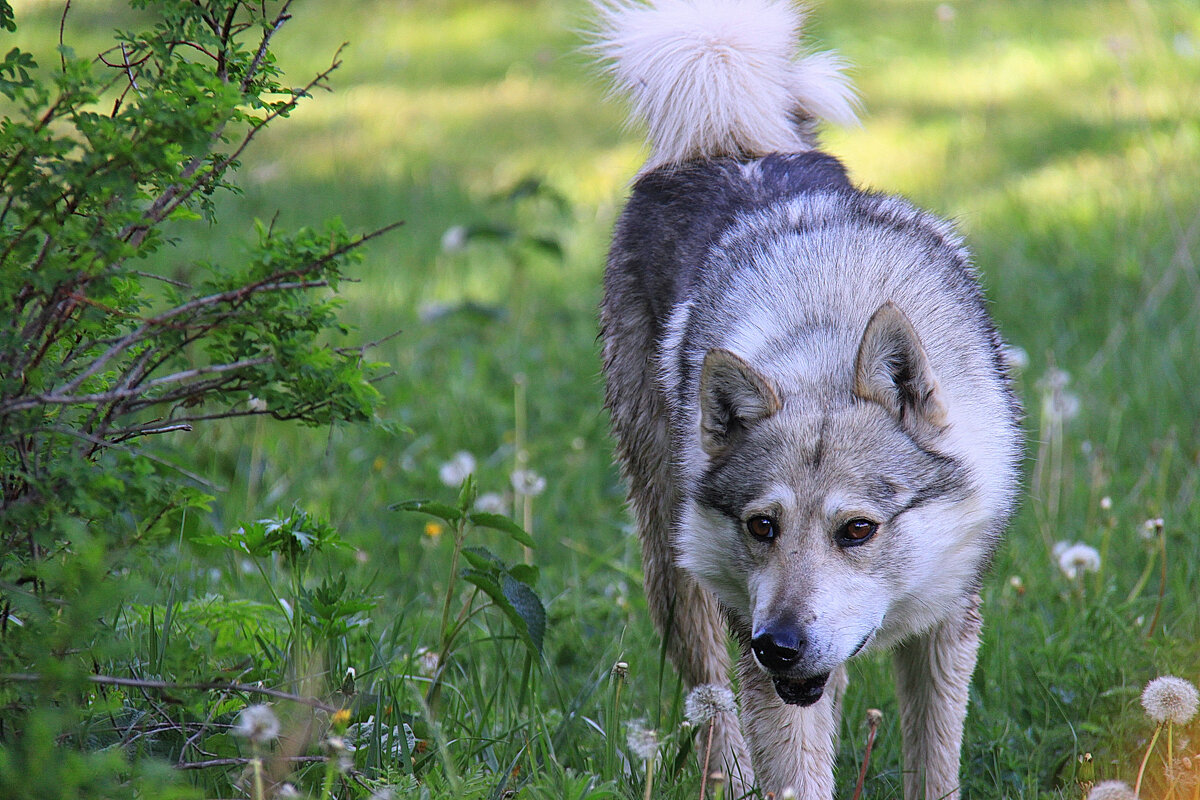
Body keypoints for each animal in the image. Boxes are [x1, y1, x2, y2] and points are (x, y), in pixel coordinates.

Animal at [590, 3, 1022, 796]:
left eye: (858, 530)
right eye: (762, 526)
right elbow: (793, 771)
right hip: (676, 573)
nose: (780, 645)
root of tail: (728, 140)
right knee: (713, 710)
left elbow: (934, 767)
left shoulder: (948, 624)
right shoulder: (761, 653)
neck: (830, 328)